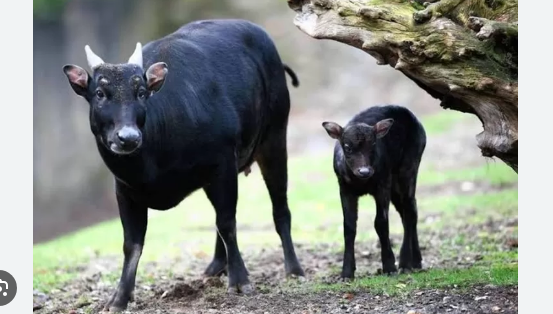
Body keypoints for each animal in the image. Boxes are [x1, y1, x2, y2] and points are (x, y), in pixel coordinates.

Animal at [64, 19, 304, 312]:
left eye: (141, 92)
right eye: (99, 93)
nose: (127, 137)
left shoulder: (222, 164)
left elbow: (227, 223)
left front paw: (240, 280)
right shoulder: (124, 189)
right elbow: (132, 244)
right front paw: (120, 297)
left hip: (274, 139)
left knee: (279, 208)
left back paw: (293, 269)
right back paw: (216, 267)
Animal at [322, 105, 424, 280]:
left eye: (373, 145)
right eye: (347, 147)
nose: (364, 171)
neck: (362, 182)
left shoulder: (383, 183)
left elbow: (381, 222)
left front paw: (389, 267)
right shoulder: (344, 188)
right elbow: (348, 226)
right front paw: (346, 273)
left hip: (409, 167)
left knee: (409, 210)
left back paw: (405, 264)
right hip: (395, 186)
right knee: (409, 210)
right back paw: (416, 261)